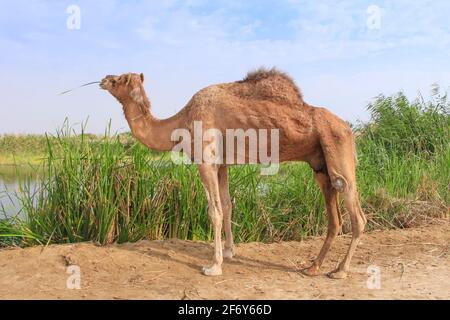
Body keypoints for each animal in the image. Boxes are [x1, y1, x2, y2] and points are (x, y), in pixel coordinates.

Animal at [100, 69, 368, 278]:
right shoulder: (222, 163)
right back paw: (313, 267)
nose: (103, 79)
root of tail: (349, 128)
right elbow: (228, 205)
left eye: (120, 78)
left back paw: (340, 271)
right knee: (335, 218)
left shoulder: (206, 161)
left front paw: (214, 266)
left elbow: (215, 211)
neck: (181, 122)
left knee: (354, 208)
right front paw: (229, 251)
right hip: (320, 165)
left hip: (338, 150)